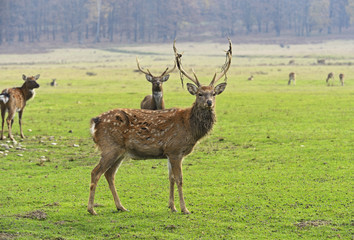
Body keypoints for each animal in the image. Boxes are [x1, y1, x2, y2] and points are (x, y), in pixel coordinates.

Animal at [88, 39, 232, 216]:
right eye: (199, 94)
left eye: (214, 93)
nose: (209, 102)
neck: (190, 128)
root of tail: (95, 121)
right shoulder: (176, 149)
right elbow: (180, 179)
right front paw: (185, 209)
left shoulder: (170, 152)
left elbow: (171, 178)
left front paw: (172, 207)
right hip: (109, 146)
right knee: (95, 172)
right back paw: (92, 209)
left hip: (120, 151)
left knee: (109, 174)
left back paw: (120, 206)